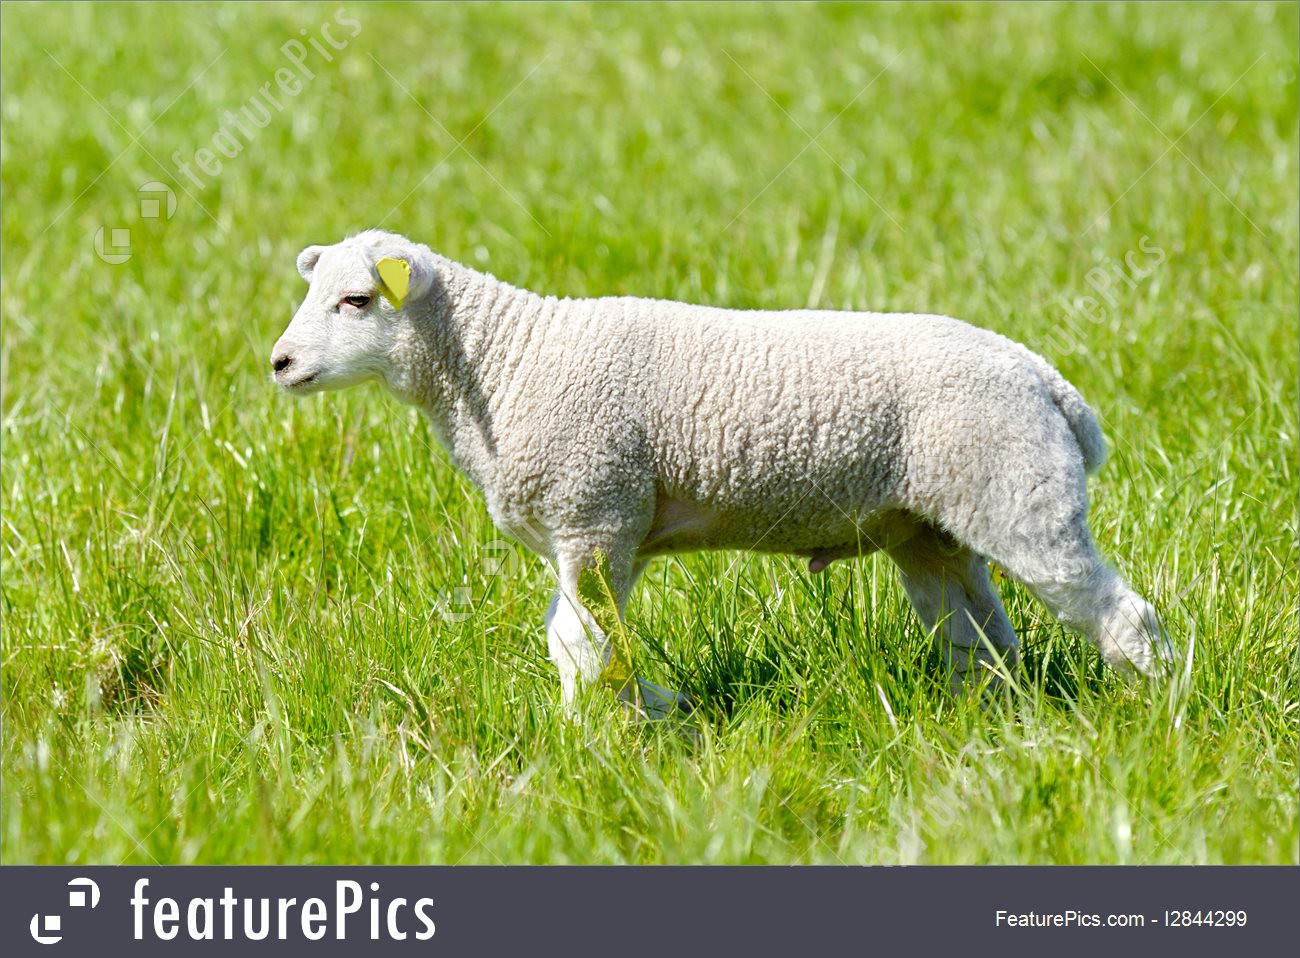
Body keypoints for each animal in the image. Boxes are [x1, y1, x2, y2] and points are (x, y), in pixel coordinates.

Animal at [269, 227, 1175, 712]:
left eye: (357, 301)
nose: (279, 363)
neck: (503, 364)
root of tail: (1047, 381)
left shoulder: (594, 514)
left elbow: (578, 644)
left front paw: (589, 737)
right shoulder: (603, 532)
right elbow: (586, 640)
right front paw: (635, 714)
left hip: (1022, 495)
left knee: (1120, 614)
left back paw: (1156, 705)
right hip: (932, 529)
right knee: (982, 641)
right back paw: (990, 723)